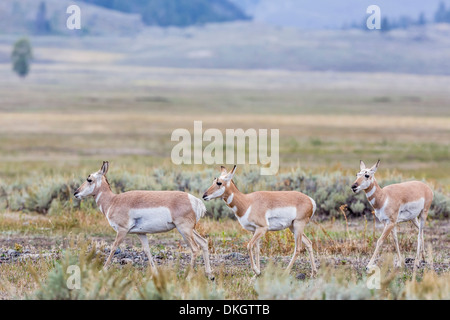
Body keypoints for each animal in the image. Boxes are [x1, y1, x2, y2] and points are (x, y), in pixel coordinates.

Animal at [73, 162, 213, 278]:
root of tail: (195, 200)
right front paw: (155, 272)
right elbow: (147, 250)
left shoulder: (122, 231)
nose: (76, 193)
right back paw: (209, 275)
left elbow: (113, 247)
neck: (113, 200)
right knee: (204, 242)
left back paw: (188, 276)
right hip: (189, 230)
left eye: (89, 179)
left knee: (195, 248)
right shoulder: (141, 233)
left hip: (184, 230)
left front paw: (103, 269)